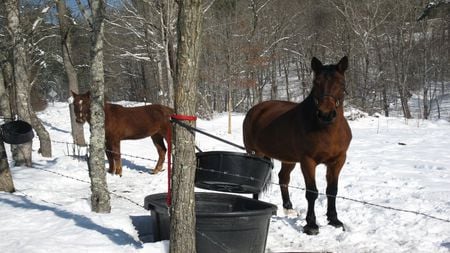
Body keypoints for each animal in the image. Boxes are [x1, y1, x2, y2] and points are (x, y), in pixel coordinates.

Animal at [243, 56, 352, 234]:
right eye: (316, 82)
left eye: (341, 83)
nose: (326, 114)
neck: (326, 129)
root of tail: (256, 109)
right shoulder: (308, 161)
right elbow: (312, 192)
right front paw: (311, 225)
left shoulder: (337, 161)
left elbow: (332, 191)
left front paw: (334, 220)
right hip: (255, 154)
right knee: (255, 181)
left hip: (288, 160)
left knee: (283, 178)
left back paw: (288, 207)